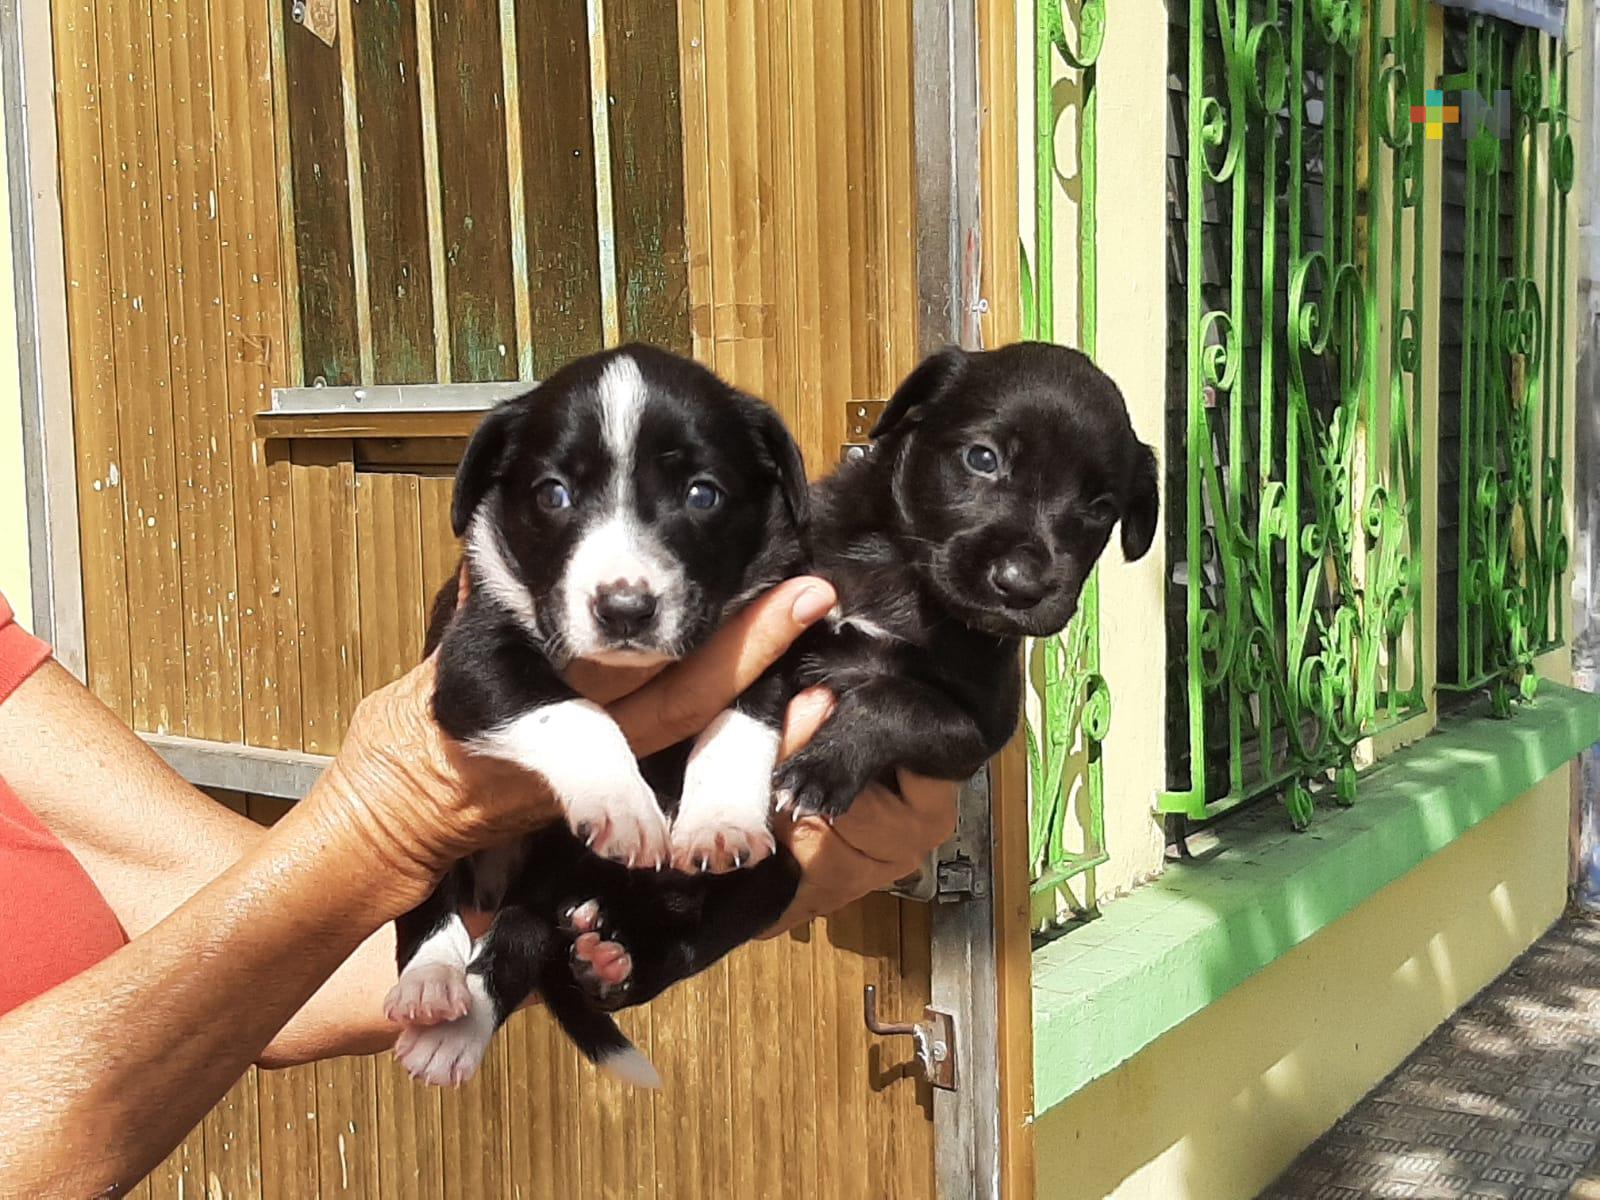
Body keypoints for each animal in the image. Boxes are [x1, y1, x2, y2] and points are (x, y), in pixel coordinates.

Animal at [385, 345, 806, 1088]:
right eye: (553, 494)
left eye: (702, 494)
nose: (625, 608)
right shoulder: (473, 654)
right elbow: (575, 713)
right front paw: (623, 805)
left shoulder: (772, 627)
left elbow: (742, 717)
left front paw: (719, 817)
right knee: (438, 909)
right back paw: (436, 994)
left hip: (759, 881)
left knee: (593, 939)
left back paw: (606, 961)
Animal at [553, 339, 1164, 1043]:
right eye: (982, 458)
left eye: (1099, 508)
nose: (1021, 584)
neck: (903, 578)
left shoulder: (977, 727)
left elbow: (892, 701)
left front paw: (818, 771)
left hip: (764, 886)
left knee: (685, 938)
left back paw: (611, 962)